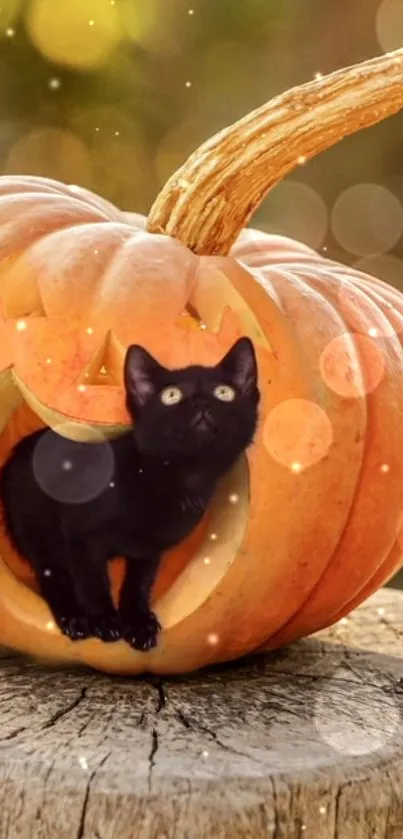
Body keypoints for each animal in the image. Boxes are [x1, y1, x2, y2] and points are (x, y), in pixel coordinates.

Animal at [0, 338, 258, 652]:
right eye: (171, 395)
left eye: (224, 393)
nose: (201, 403)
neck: (178, 477)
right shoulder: (80, 533)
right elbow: (93, 580)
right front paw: (104, 620)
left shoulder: (150, 548)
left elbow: (139, 582)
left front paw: (138, 623)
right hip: (36, 527)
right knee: (51, 572)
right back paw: (73, 617)